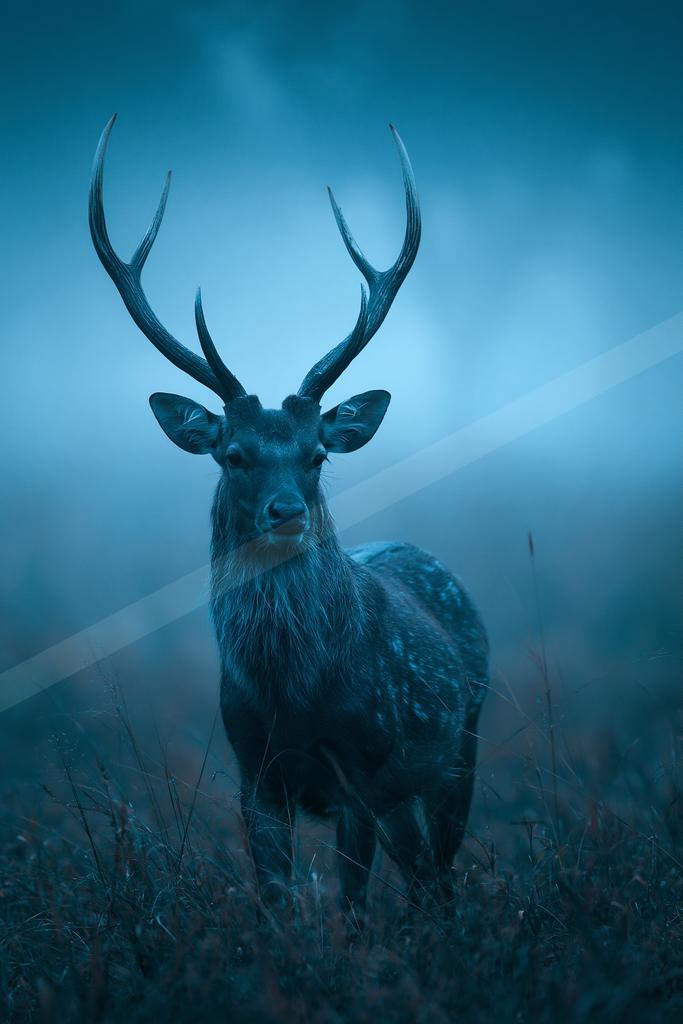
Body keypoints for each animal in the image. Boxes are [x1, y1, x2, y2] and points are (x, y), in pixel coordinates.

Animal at [89, 115, 489, 919]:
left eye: (317, 455)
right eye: (235, 454)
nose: (287, 511)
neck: (294, 699)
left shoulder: (362, 775)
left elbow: (353, 910)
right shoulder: (253, 774)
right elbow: (274, 904)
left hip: (460, 749)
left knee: (439, 878)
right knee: (424, 878)